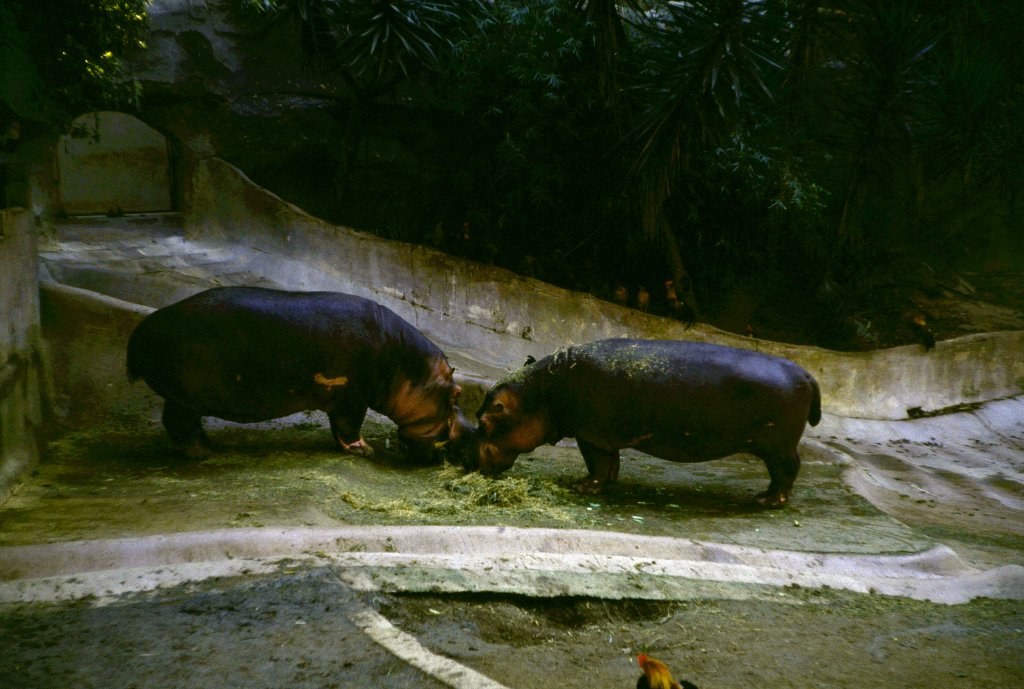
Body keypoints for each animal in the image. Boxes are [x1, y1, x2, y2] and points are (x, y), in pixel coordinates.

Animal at [127, 286, 472, 460]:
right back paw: (201, 453)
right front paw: (365, 450)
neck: (405, 364)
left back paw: (210, 445)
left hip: (185, 398)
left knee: (182, 423)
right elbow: (349, 426)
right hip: (184, 397)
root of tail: (142, 330)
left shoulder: (341, 397)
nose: (468, 431)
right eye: (457, 393)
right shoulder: (354, 397)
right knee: (177, 424)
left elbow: (337, 427)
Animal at [467, 338, 821, 508]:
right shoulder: (603, 434)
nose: (467, 461)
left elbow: (596, 463)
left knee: (787, 471)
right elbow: (612, 463)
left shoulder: (590, 433)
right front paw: (609, 483)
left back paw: (765, 502)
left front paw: (582, 487)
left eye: (484, 422)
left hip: (777, 447)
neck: (538, 393)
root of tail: (806, 373)